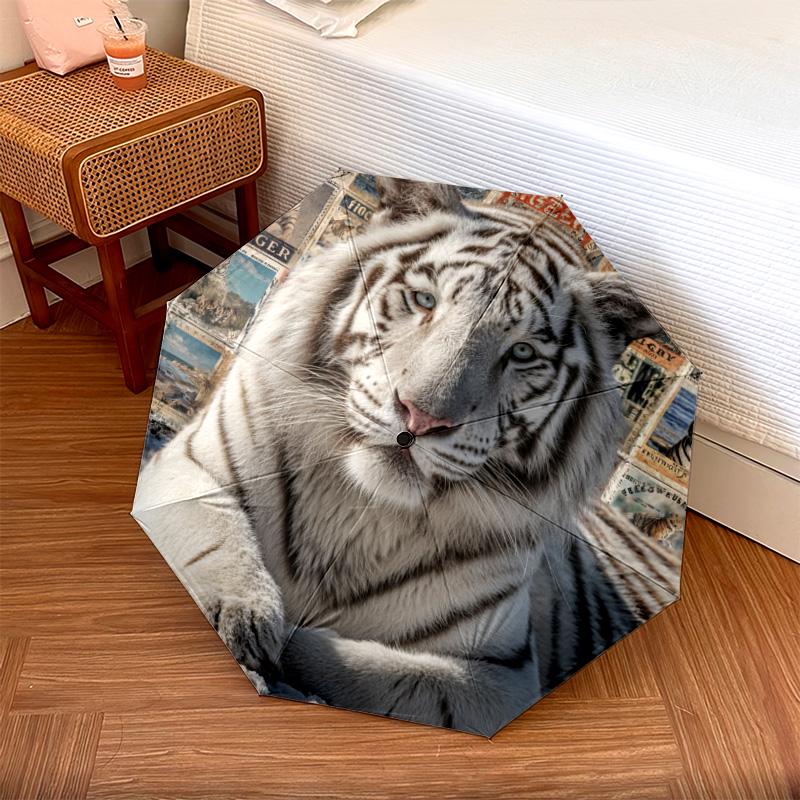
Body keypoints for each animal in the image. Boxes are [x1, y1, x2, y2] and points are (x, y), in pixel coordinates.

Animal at [133, 178, 667, 736]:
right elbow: (214, 530)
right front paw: (250, 617)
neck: (356, 510)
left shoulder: (502, 677)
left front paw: (285, 644)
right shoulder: (188, 462)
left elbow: (385, 674)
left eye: (522, 352)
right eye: (424, 300)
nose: (421, 417)